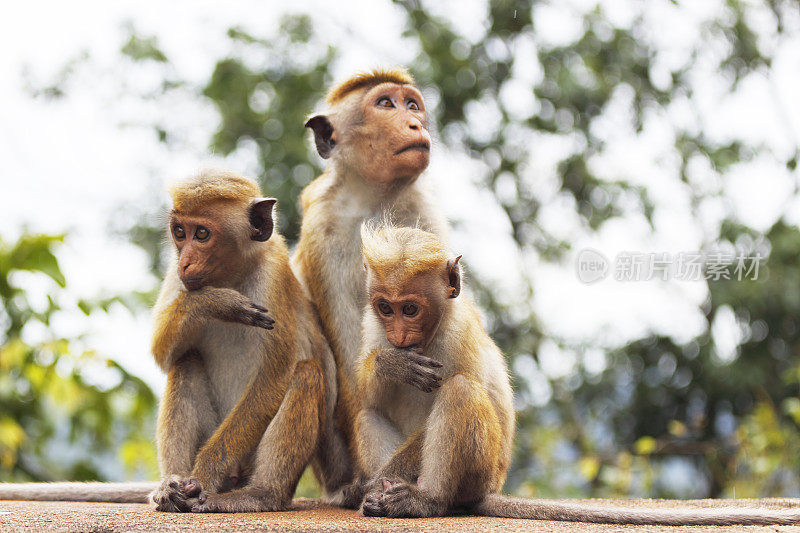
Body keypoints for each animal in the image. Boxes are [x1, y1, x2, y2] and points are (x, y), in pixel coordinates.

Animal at [290, 67, 446, 502]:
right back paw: (351, 484)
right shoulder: (323, 227)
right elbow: (348, 347)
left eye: (412, 105)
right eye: (385, 104)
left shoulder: (423, 212)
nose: (414, 124)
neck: (373, 197)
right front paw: (389, 366)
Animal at [352, 223, 800, 524]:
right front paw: (391, 364)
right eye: (386, 308)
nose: (399, 335)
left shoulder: (456, 334)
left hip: (482, 474)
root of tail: (491, 489)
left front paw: (384, 483)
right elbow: (366, 394)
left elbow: (470, 387)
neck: (429, 335)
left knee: (462, 390)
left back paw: (428, 499)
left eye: (411, 309)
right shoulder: (371, 325)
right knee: (368, 412)